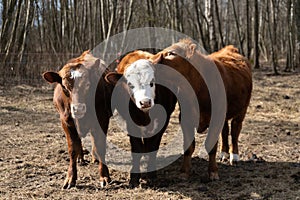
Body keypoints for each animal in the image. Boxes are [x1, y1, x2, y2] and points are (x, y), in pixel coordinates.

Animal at [43, 50, 115, 188]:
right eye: (64, 87)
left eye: (87, 85)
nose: (78, 109)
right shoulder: (66, 122)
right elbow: (72, 149)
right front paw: (70, 177)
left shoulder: (101, 119)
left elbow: (100, 145)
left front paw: (104, 176)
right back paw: (80, 158)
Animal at [151, 39, 252, 180]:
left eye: (172, 53)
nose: (150, 61)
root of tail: (231, 49)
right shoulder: (185, 119)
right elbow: (188, 147)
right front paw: (184, 172)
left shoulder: (215, 119)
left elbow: (211, 146)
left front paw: (213, 172)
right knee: (225, 131)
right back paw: (224, 153)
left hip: (242, 111)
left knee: (235, 132)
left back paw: (234, 157)